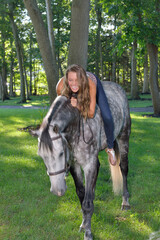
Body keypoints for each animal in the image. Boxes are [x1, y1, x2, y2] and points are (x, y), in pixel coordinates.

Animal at [36, 81, 131, 239]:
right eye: (42, 156)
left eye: (61, 153)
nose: (57, 190)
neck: (76, 124)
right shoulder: (74, 165)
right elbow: (82, 194)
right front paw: (84, 223)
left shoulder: (89, 165)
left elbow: (87, 203)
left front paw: (88, 232)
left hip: (123, 138)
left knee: (123, 169)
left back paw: (126, 202)